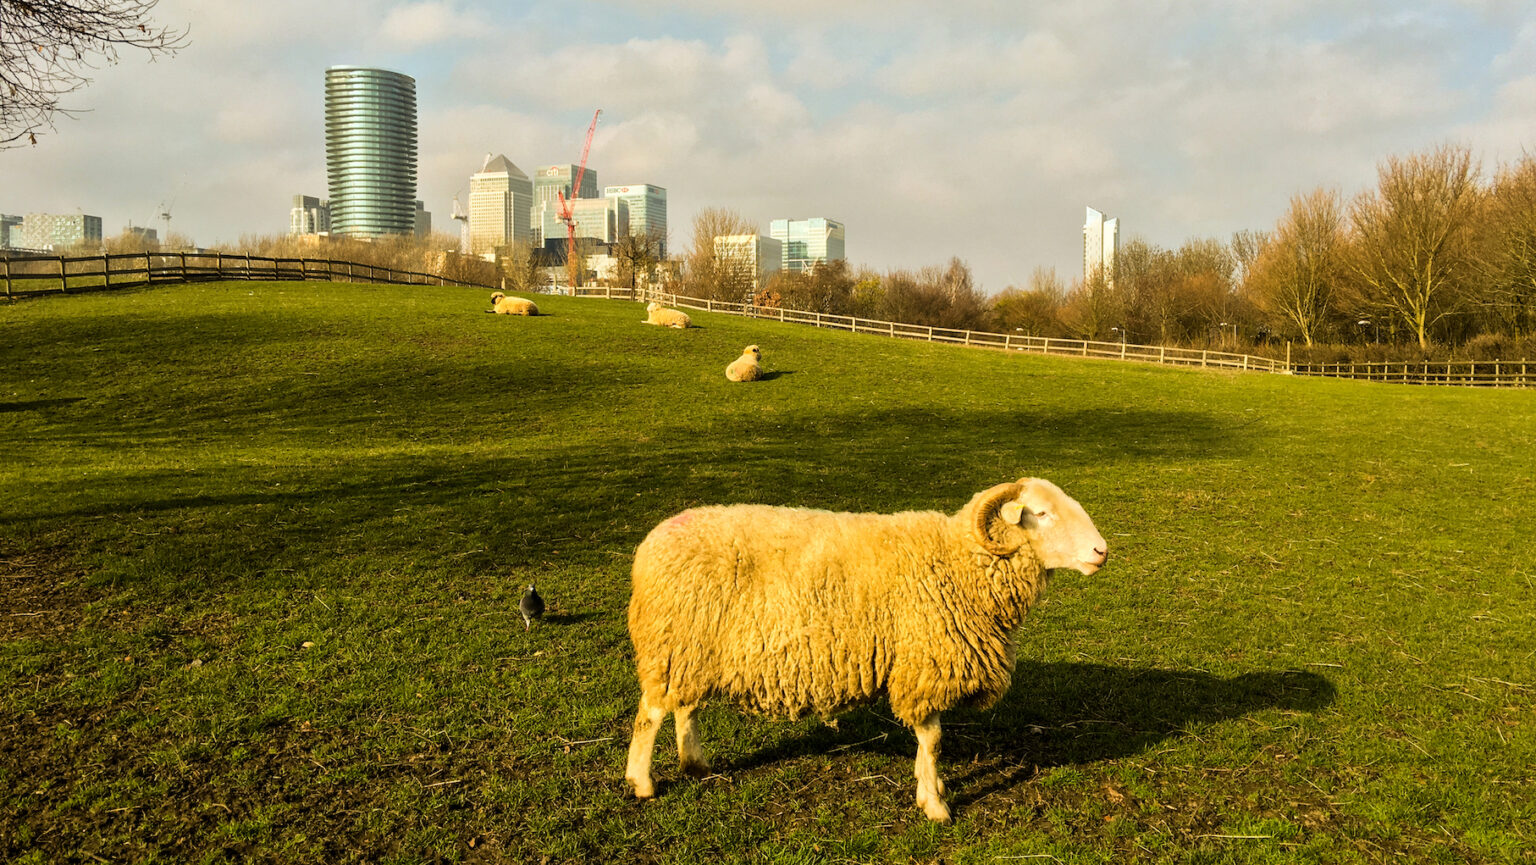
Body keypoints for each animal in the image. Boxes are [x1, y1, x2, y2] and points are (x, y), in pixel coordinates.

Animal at [623, 477, 1108, 823]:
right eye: (1041, 513)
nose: (1102, 550)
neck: (957, 560)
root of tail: (653, 542)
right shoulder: (920, 663)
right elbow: (933, 740)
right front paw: (934, 804)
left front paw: (931, 789)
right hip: (673, 643)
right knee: (651, 715)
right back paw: (642, 782)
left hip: (693, 650)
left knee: (685, 707)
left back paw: (695, 764)